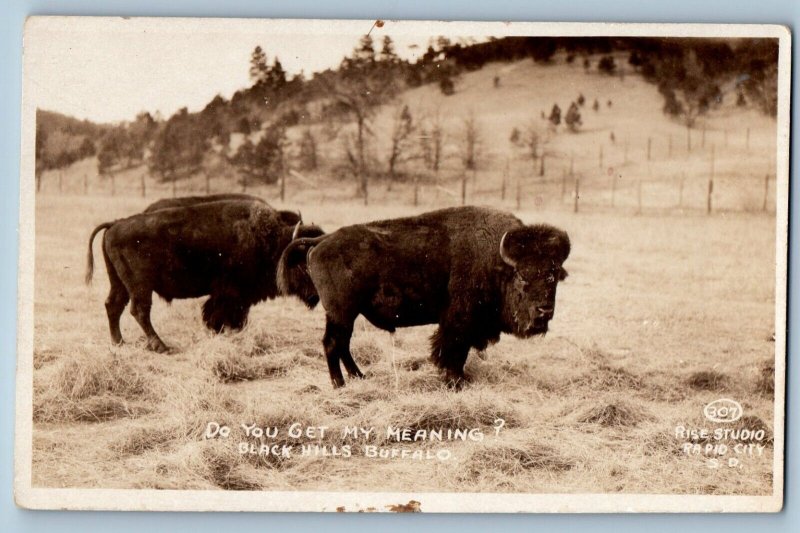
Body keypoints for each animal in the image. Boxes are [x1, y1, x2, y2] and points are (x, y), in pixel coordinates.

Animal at [86, 197, 324, 352]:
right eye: (304, 262)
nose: (319, 294)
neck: (273, 240)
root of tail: (116, 223)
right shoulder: (231, 293)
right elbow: (220, 314)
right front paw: (222, 333)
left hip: (119, 283)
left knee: (113, 305)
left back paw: (119, 342)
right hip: (140, 286)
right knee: (139, 311)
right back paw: (161, 346)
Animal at [278, 205, 572, 386]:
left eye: (553, 275)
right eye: (522, 275)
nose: (544, 310)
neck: (496, 262)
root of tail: (321, 241)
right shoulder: (458, 322)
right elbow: (452, 350)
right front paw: (455, 381)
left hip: (347, 314)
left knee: (342, 345)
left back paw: (360, 377)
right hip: (340, 313)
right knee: (332, 344)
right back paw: (340, 385)